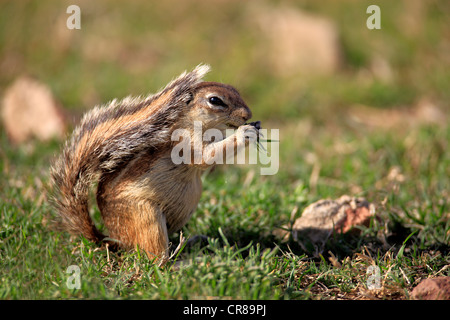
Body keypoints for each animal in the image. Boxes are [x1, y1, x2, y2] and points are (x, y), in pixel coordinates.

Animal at [49, 64, 260, 260]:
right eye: (215, 100)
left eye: (235, 90)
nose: (248, 115)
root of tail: (115, 242)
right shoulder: (185, 143)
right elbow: (206, 156)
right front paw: (244, 133)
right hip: (146, 218)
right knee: (156, 259)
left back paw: (194, 242)